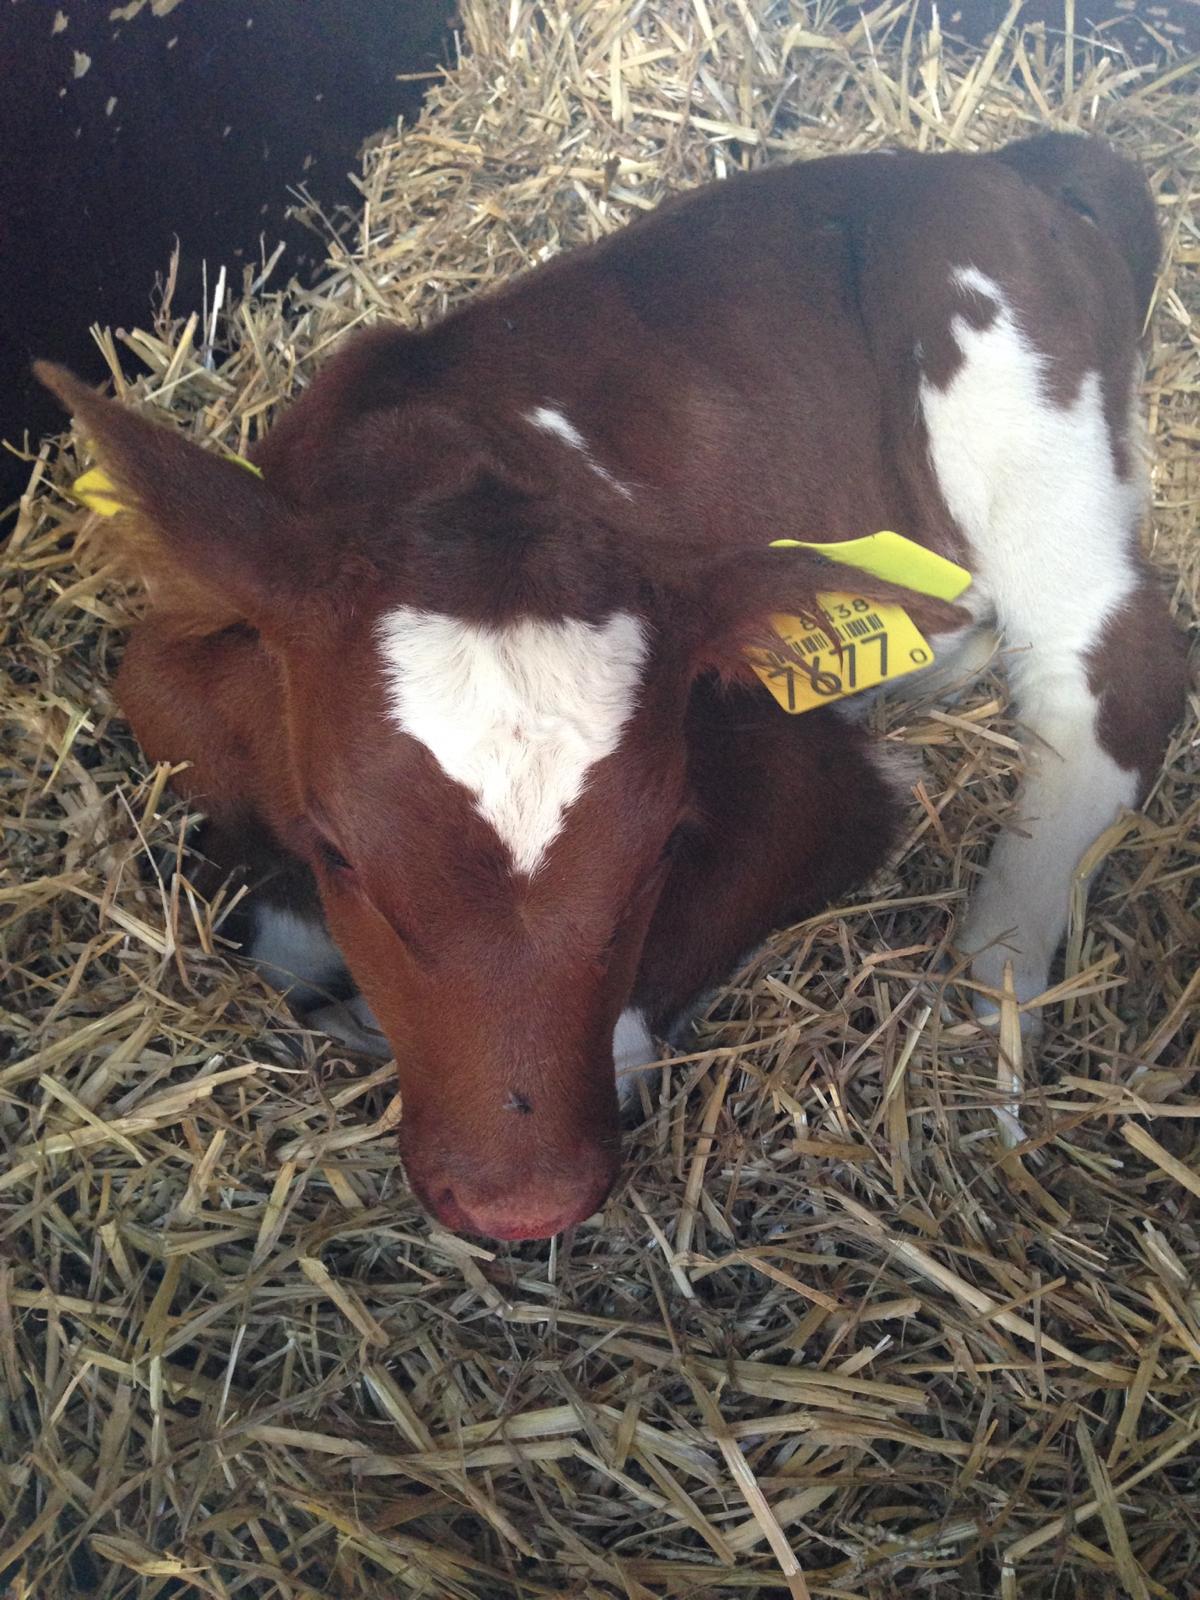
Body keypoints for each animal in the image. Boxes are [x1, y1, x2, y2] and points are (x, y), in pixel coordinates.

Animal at [40, 133, 1186, 1243]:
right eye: (339, 852)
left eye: (663, 846)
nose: (520, 1201)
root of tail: (1003, 164)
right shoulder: (177, 687)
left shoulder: (813, 779)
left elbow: (640, 1008)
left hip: (1018, 398)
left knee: (1111, 667)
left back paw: (988, 996)